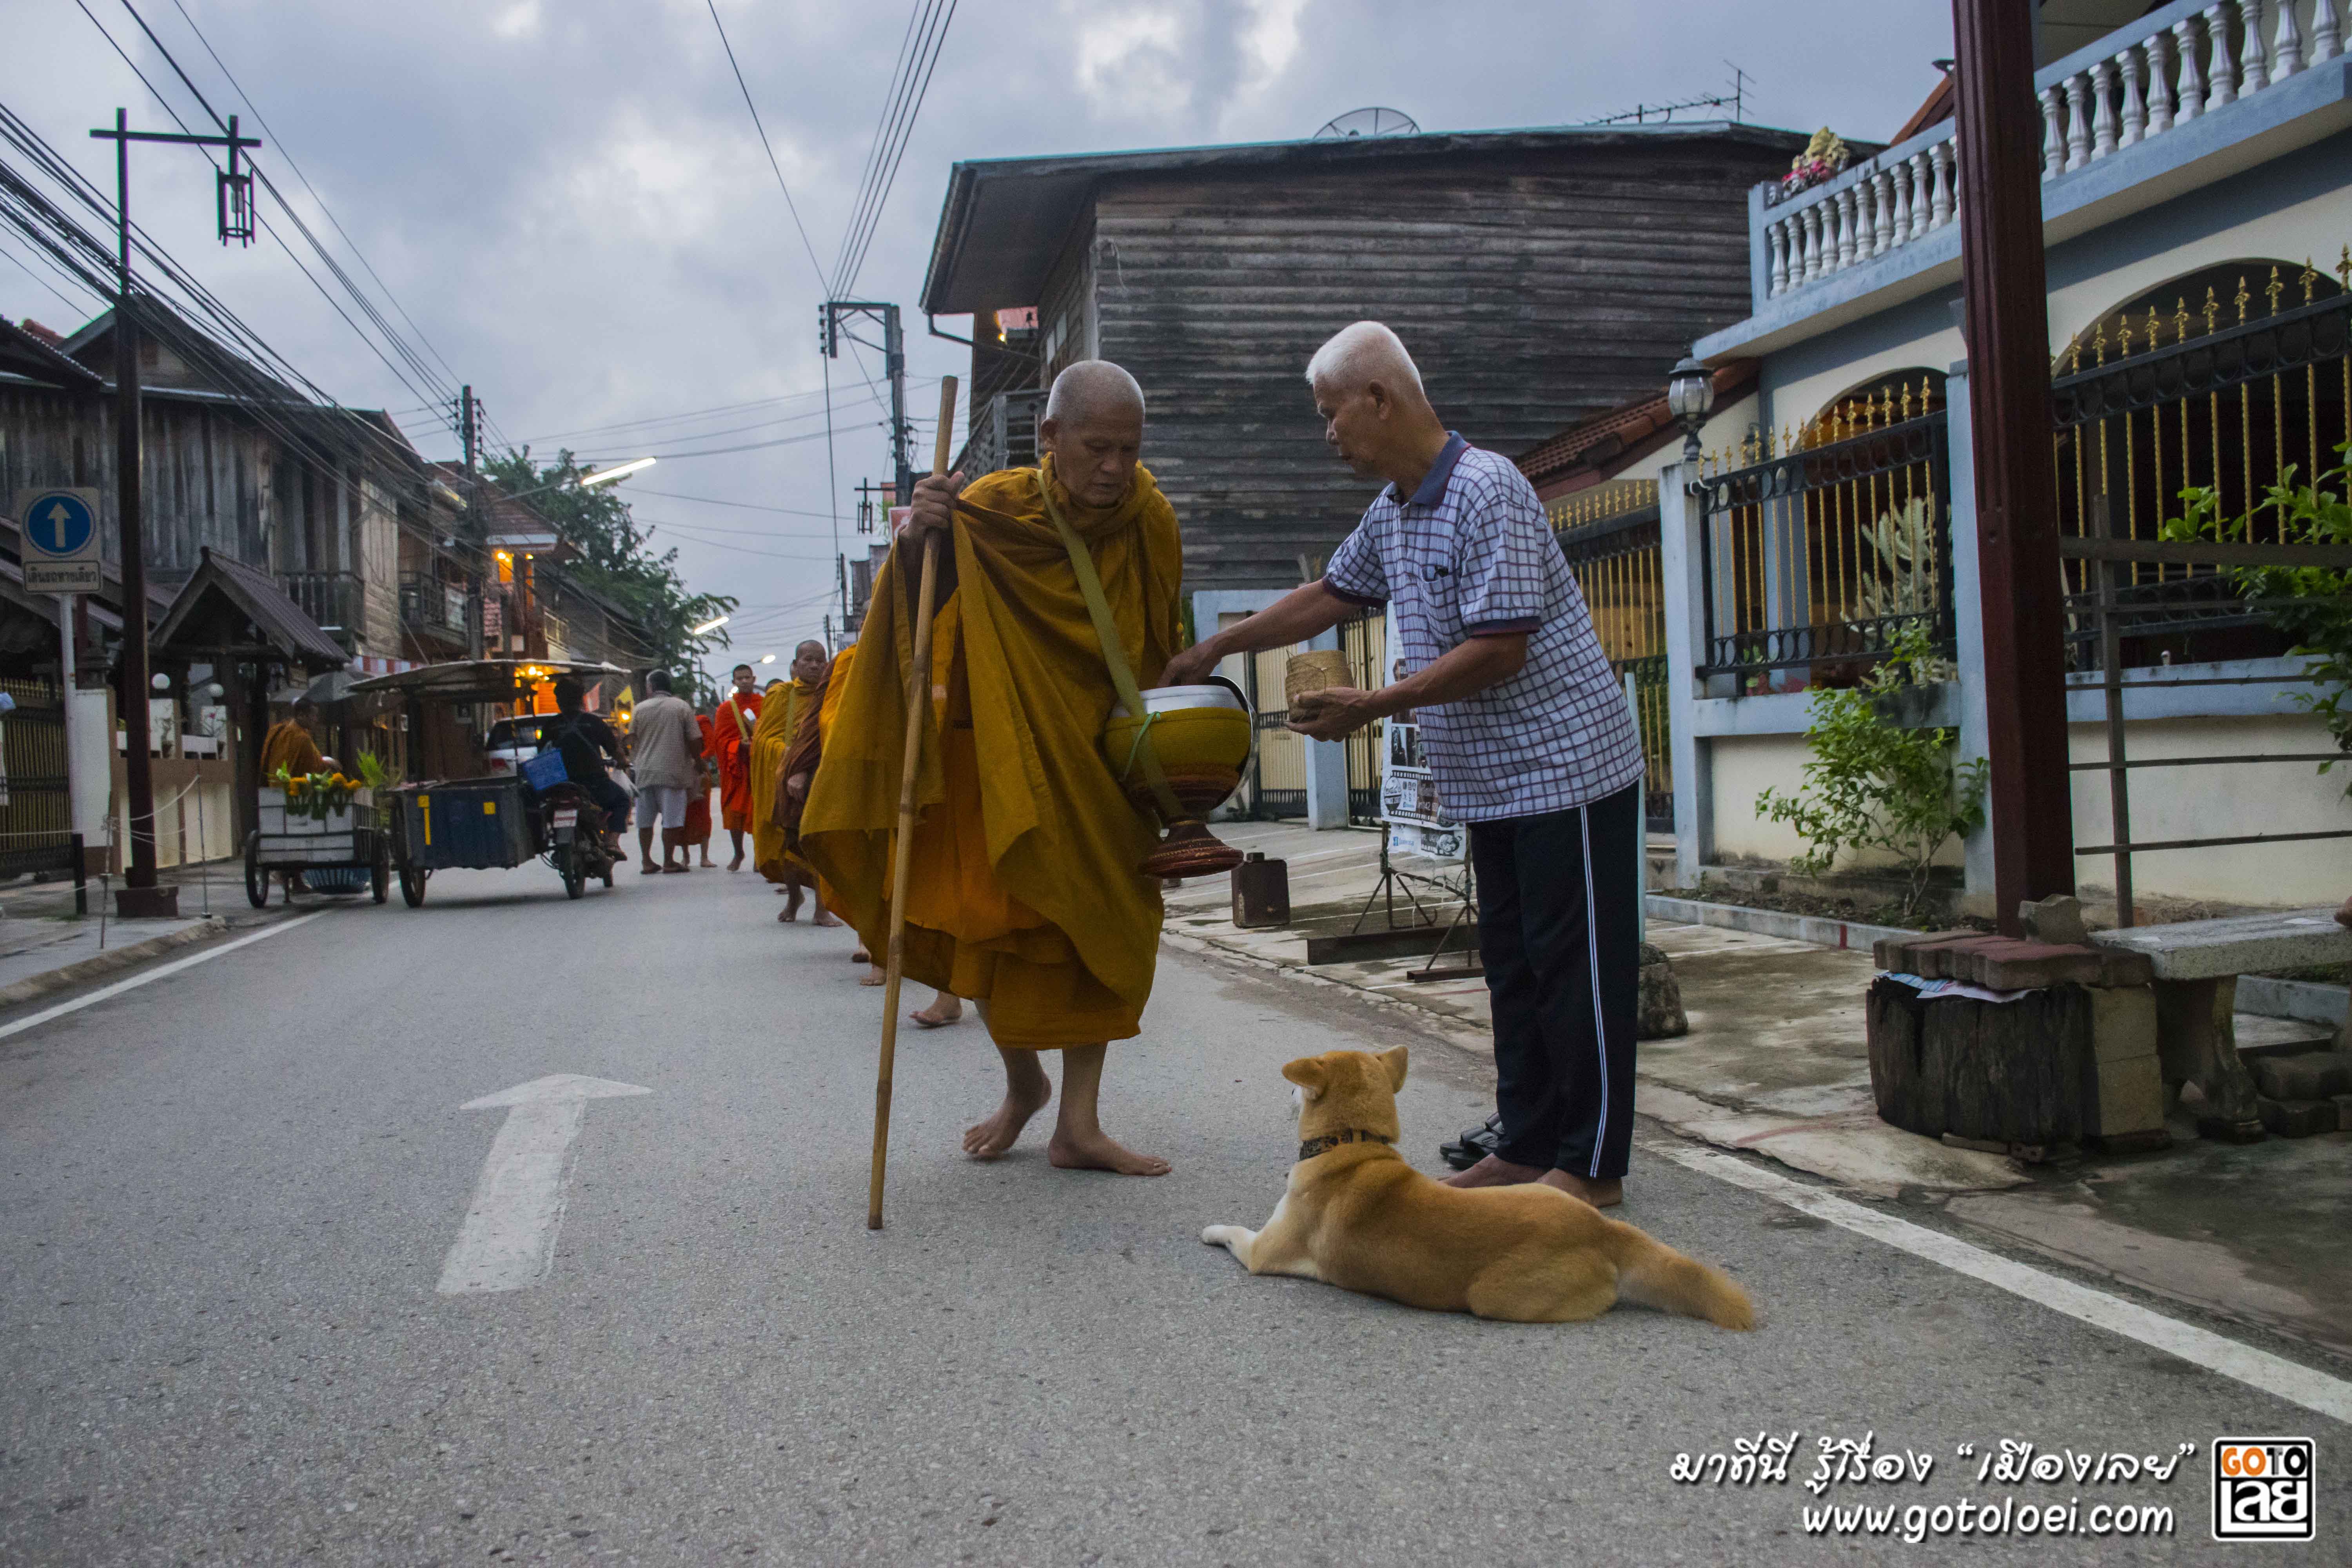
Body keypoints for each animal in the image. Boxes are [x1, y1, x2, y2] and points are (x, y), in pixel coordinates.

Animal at [1204, 1048, 1759, 1335]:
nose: (1287, 1092)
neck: (1353, 1145)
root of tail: (1603, 1228)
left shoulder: (1264, 1250)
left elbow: (1234, 1230)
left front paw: (1211, 1228)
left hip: (1493, 1297)